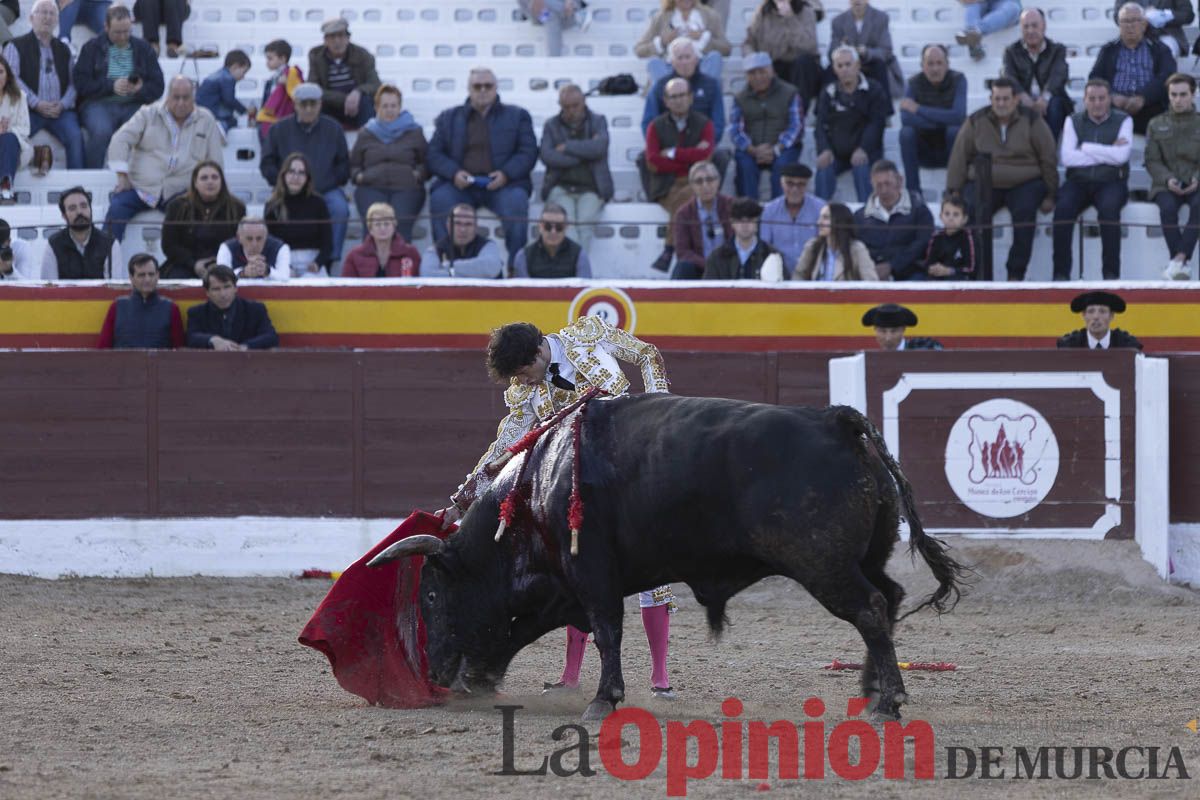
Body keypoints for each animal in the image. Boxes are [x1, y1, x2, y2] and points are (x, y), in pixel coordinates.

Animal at [369, 393, 969, 719]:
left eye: (430, 594)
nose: (438, 676)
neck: (535, 487)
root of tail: (836, 421)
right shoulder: (571, 583)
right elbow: (557, 630)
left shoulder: (591, 573)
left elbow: (606, 630)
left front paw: (603, 700)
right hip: (863, 556)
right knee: (888, 598)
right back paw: (870, 692)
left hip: (822, 564)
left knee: (869, 608)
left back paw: (888, 703)